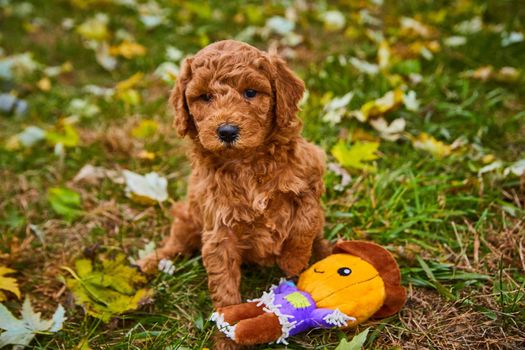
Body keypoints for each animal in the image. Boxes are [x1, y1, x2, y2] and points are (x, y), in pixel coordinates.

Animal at [139, 40, 328, 312]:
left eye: (250, 92)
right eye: (205, 97)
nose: (227, 131)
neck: (246, 163)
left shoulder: (311, 175)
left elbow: (306, 221)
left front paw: (294, 260)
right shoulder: (219, 227)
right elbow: (222, 276)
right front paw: (228, 318)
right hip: (188, 216)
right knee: (176, 243)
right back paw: (150, 262)